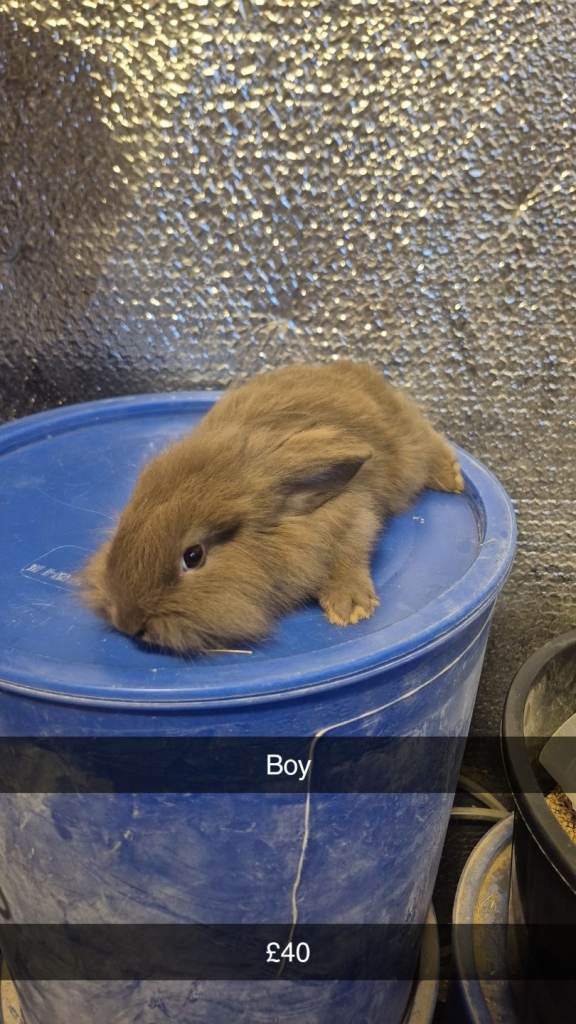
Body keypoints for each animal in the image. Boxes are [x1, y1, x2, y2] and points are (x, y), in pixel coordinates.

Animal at [78, 360, 464, 653]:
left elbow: (349, 558)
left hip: (408, 449)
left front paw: (350, 608)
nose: (126, 622)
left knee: (428, 441)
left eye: (194, 556)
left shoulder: (355, 518)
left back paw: (453, 478)